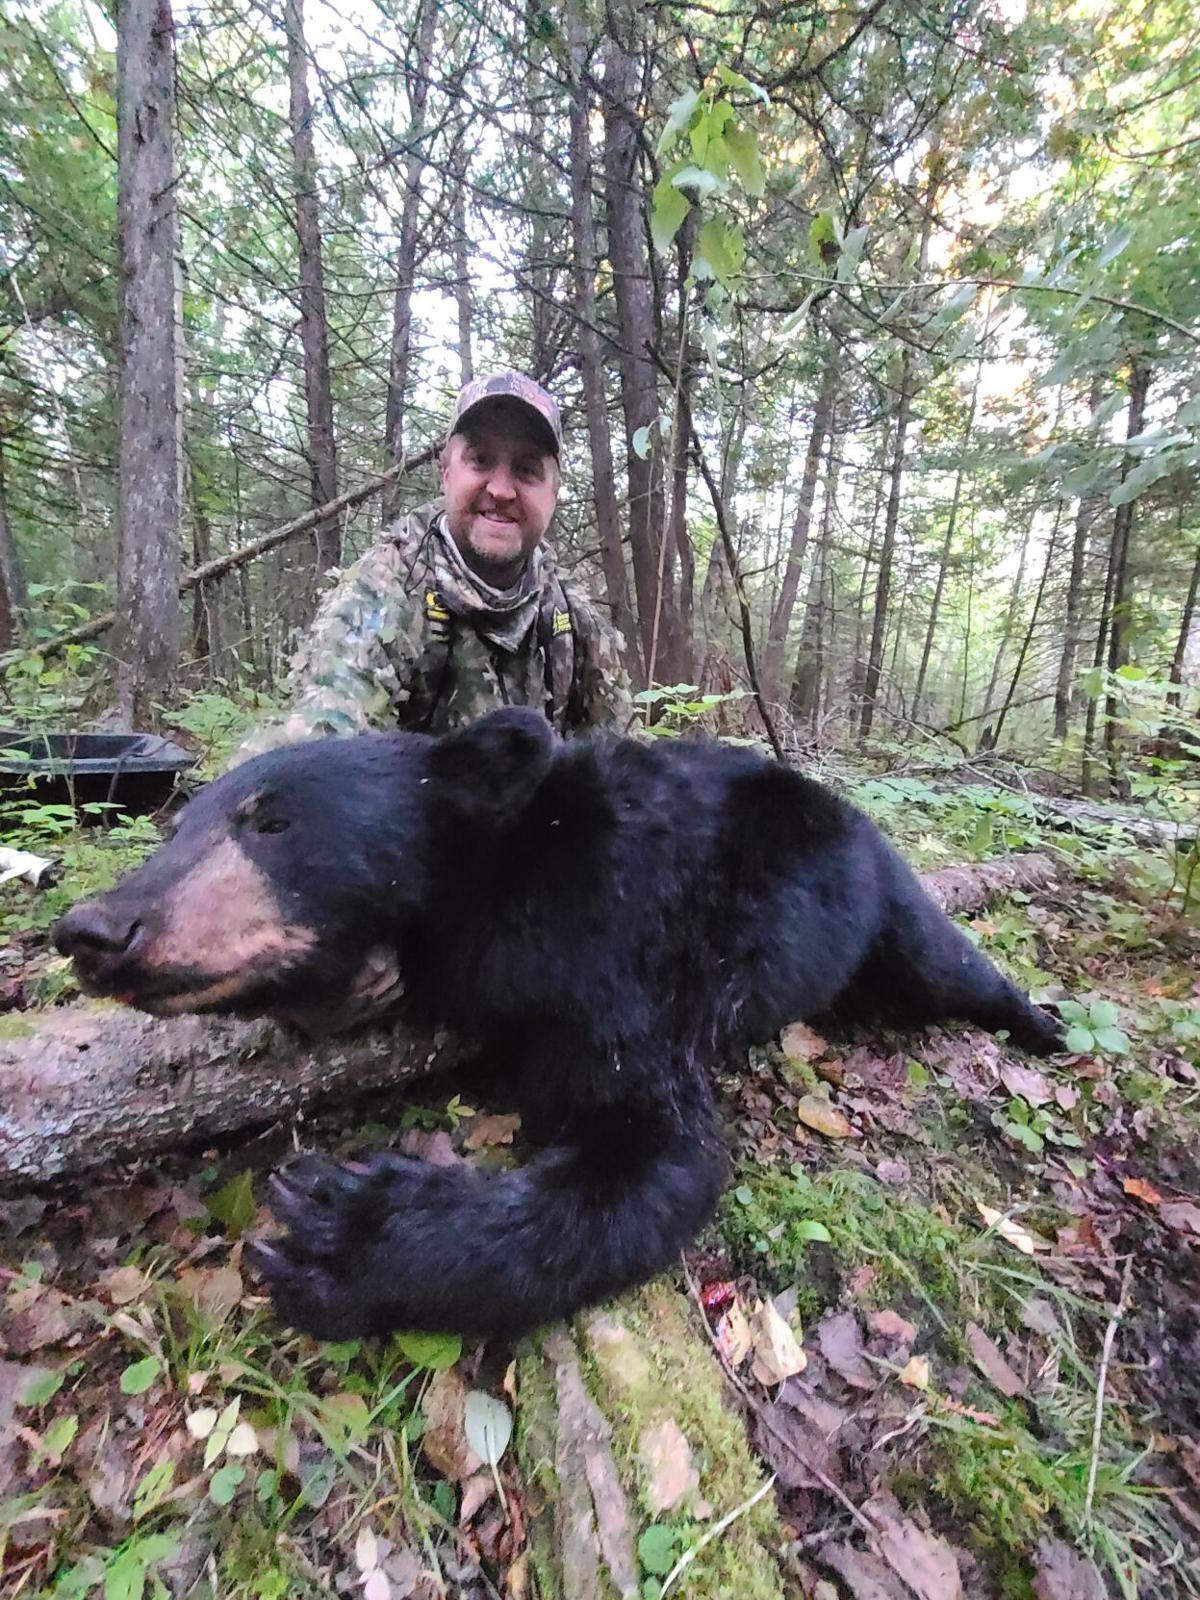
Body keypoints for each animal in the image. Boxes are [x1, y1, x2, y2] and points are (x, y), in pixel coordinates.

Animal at [54, 708, 1064, 1341]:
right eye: (179, 827)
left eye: (271, 824)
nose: (95, 930)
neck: (507, 891)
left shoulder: (618, 960)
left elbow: (650, 1152)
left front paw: (343, 1231)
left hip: (879, 894)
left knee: (943, 959)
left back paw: (1041, 1024)